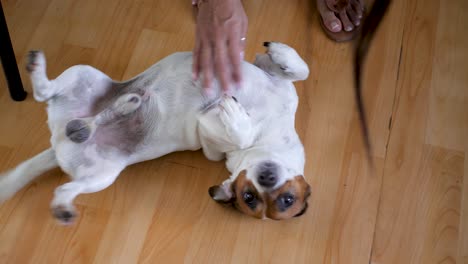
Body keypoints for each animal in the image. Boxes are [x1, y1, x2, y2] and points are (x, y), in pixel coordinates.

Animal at [0, 41, 310, 223]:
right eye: (250, 196)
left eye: (285, 200)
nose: (266, 177)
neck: (270, 133)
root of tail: (62, 140)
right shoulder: (276, 80)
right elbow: (300, 70)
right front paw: (280, 52)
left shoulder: (213, 148)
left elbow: (238, 135)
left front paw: (234, 115)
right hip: (83, 73)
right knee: (45, 92)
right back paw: (39, 68)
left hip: (101, 175)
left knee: (66, 186)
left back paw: (63, 207)